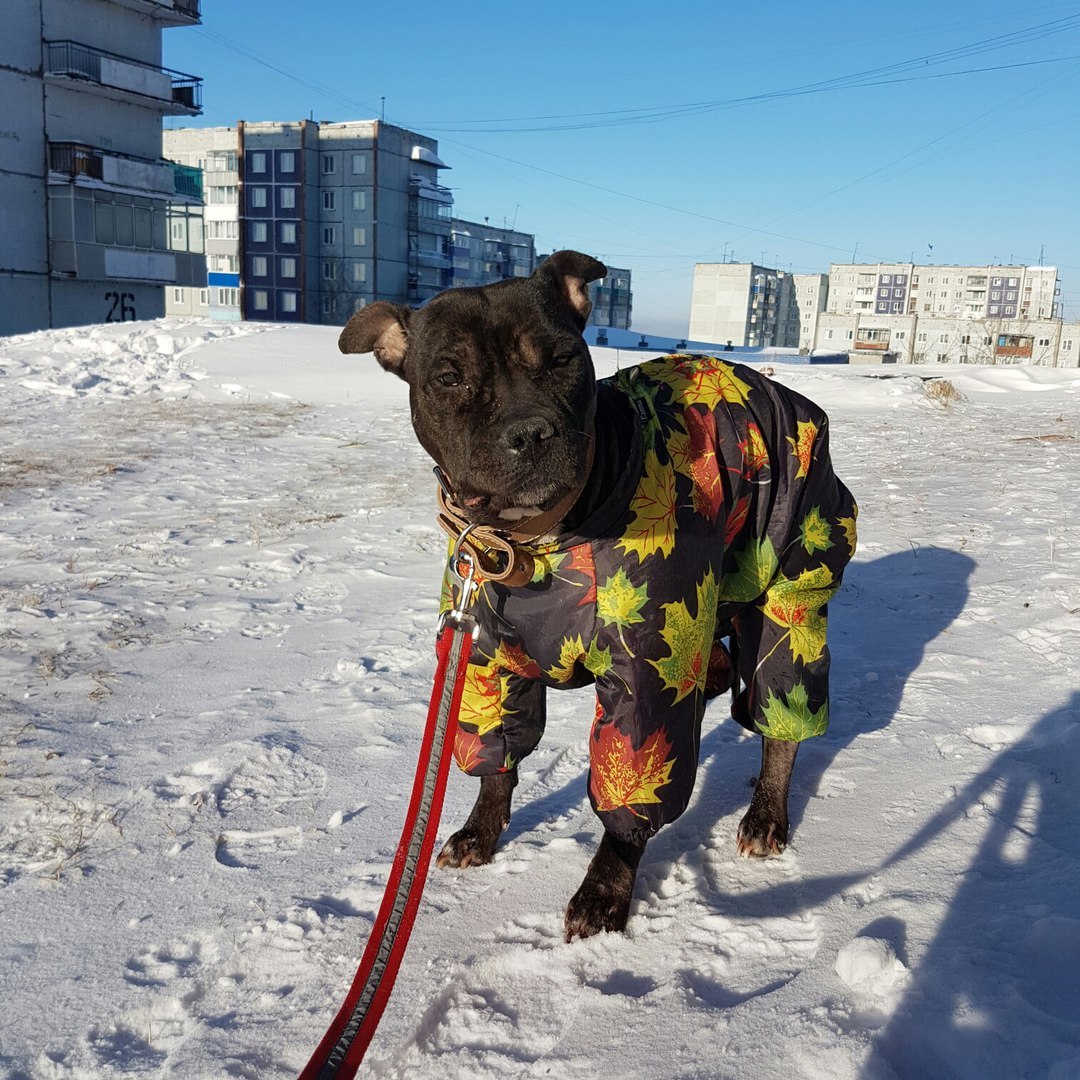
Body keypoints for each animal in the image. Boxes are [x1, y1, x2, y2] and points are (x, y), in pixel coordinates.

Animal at [341, 248, 855, 941]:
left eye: (562, 358)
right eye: (448, 377)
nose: (529, 432)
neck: (534, 543)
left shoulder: (648, 674)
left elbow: (631, 793)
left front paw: (605, 888)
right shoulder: (487, 662)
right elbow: (497, 754)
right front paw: (480, 831)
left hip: (791, 588)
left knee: (782, 707)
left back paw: (766, 813)